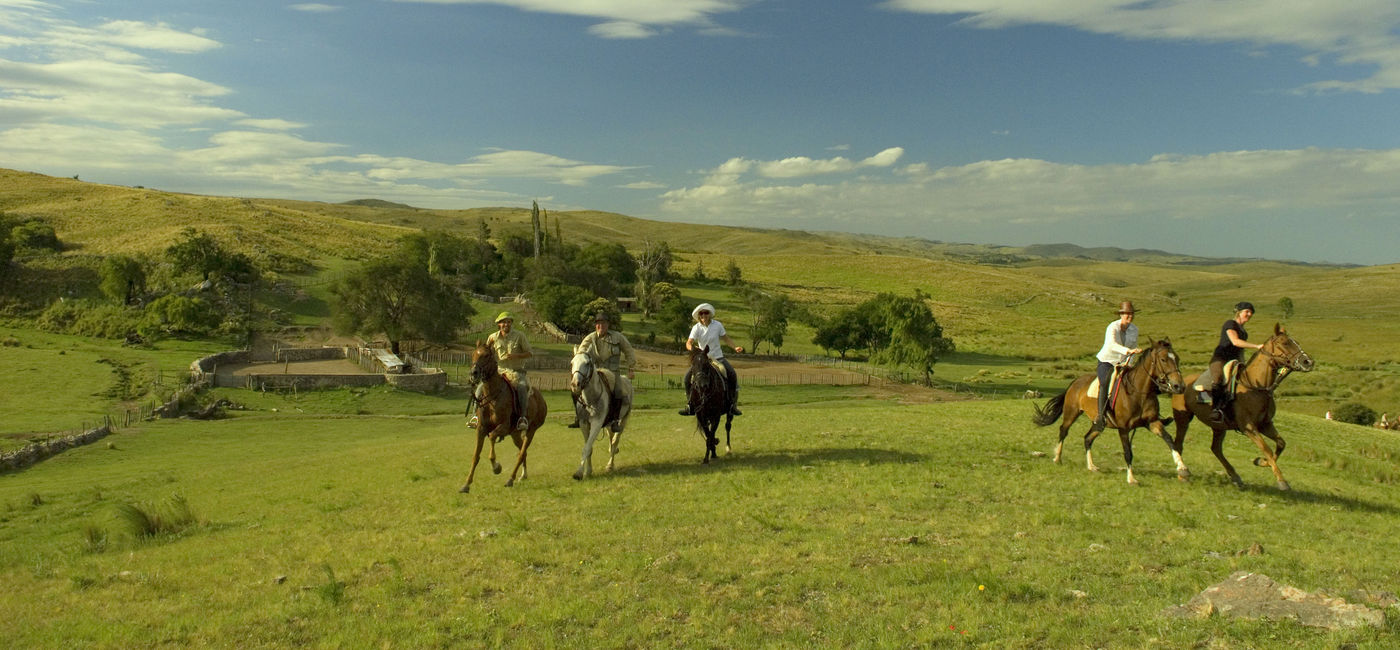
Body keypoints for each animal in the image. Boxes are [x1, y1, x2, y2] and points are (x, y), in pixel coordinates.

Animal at [459, 340, 546, 493]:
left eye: (487, 355)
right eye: (474, 354)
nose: (473, 373)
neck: (493, 397)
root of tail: (542, 399)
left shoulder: (503, 427)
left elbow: (492, 437)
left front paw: (496, 467)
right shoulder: (480, 429)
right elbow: (476, 456)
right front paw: (466, 484)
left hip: (531, 431)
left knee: (521, 453)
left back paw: (510, 479)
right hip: (515, 434)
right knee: (522, 452)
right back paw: (523, 475)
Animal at [568, 347, 635, 479]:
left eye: (587, 363)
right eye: (572, 363)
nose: (575, 385)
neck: (591, 399)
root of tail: (627, 380)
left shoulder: (596, 423)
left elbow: (587, 448)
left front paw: (579, 473)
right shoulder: (584, 423)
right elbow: (589, 448)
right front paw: (588, 471)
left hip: (624, 419)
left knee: (615, 441)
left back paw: (610, 465)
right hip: (609, 423)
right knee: (611, 438)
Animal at [1036, 340, 1187, 481]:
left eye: (1177, 358)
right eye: (1163, 359)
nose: (1179, 386)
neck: (1139, 392)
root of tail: (1075, 382)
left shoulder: (1152, 422)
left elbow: (1169, 440)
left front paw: (1182, 468)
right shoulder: (1123, 428)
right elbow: (1128, 452)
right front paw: (1131, 478)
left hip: (1098, 423)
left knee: (1087, 438)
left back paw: (1091, 466)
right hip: (1071, 413)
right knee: (1063, 430)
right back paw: (1057, 458)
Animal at [1170, 322, 1310, 490]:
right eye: (1285, 343)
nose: (1308, 362)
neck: (1256, 386)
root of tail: (1181, 383)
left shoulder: (1265, 424)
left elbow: (1281, 444)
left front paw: (1260, 462)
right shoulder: (1249, 427)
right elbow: (1267, 449)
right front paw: (1282, 481)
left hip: (1218, 426)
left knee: (1216, 449)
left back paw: (1235, 476)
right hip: (1183, 418)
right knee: (1179, 444)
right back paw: (1182, 473)